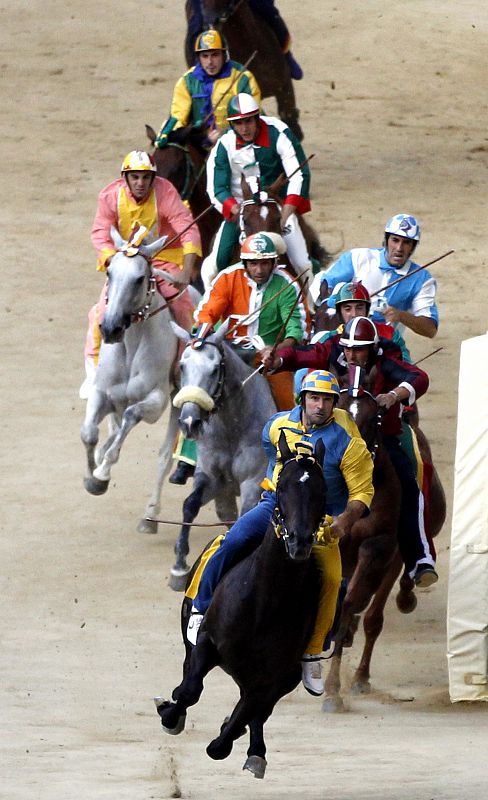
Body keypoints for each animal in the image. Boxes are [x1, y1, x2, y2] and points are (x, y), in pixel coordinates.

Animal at [81, 228, 180, 532]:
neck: (132, 344)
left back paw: (150, 516)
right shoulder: (102, 393)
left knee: (163, 457)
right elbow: (89, 433)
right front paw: (92, 477)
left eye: (139, 279)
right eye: (109, 272)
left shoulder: (156, 401)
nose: (111, 328)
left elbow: (131, 416)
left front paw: (102, 473)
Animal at [143, 322, 276, 592]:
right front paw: (179, 566)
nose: (189, 421)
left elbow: (245, 517)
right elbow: (190, 505)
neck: (232, 426)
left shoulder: (252, 482)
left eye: (215, 369)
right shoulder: (214, 479)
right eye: (182, 366)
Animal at [155, 434, 332, 780]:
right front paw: (170, 713)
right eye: (282, 486)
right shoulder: (209, 641)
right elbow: (190, 690)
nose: (300, 541)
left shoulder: (272, 676)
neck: (264, 602)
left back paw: (254, 751)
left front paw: (230, 739)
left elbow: (243, 718)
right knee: (188, 672)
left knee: (258, 712)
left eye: (321, 490)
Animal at [322, 376, 448, 712]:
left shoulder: (377, 546)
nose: (351, 456)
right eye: (339, 413)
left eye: (374, 418)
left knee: (375, 614)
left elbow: (353, 605)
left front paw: (332, 690)